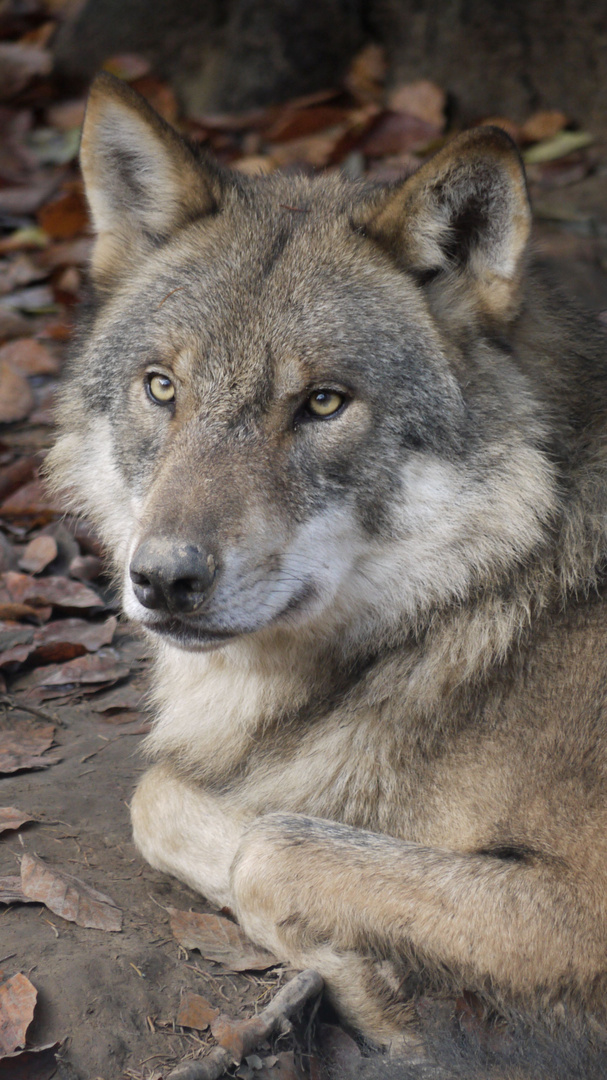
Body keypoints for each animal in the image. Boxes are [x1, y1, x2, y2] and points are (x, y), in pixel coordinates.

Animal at [48, 73, 607, 1071]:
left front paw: (377, 986)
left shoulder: (583, 904)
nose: (164, 579)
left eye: (321, 403)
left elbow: (269, 846)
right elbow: (165, 798)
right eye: (162, 388)